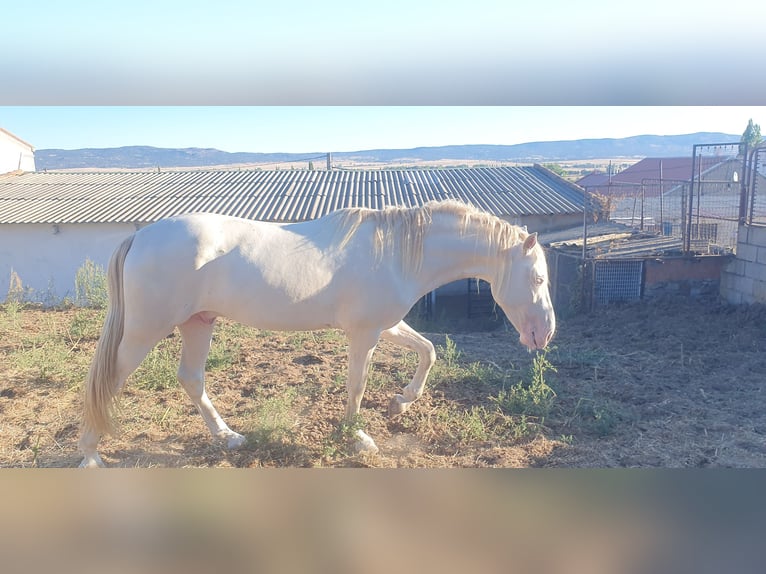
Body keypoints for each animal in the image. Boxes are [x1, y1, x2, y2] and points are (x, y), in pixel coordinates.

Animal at [79, 199, 560, 468]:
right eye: (537, 278)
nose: (545, 334)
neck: (399, 253)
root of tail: (141, 237)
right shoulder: (364, 334)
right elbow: (356, 385)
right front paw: (358, 438)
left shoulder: (386, 325)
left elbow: (428, 351)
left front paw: (400, 403)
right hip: (144, 331)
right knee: (107, 382)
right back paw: (90, 455)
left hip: (198, 323)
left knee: (191, 379)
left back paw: (229, 437)